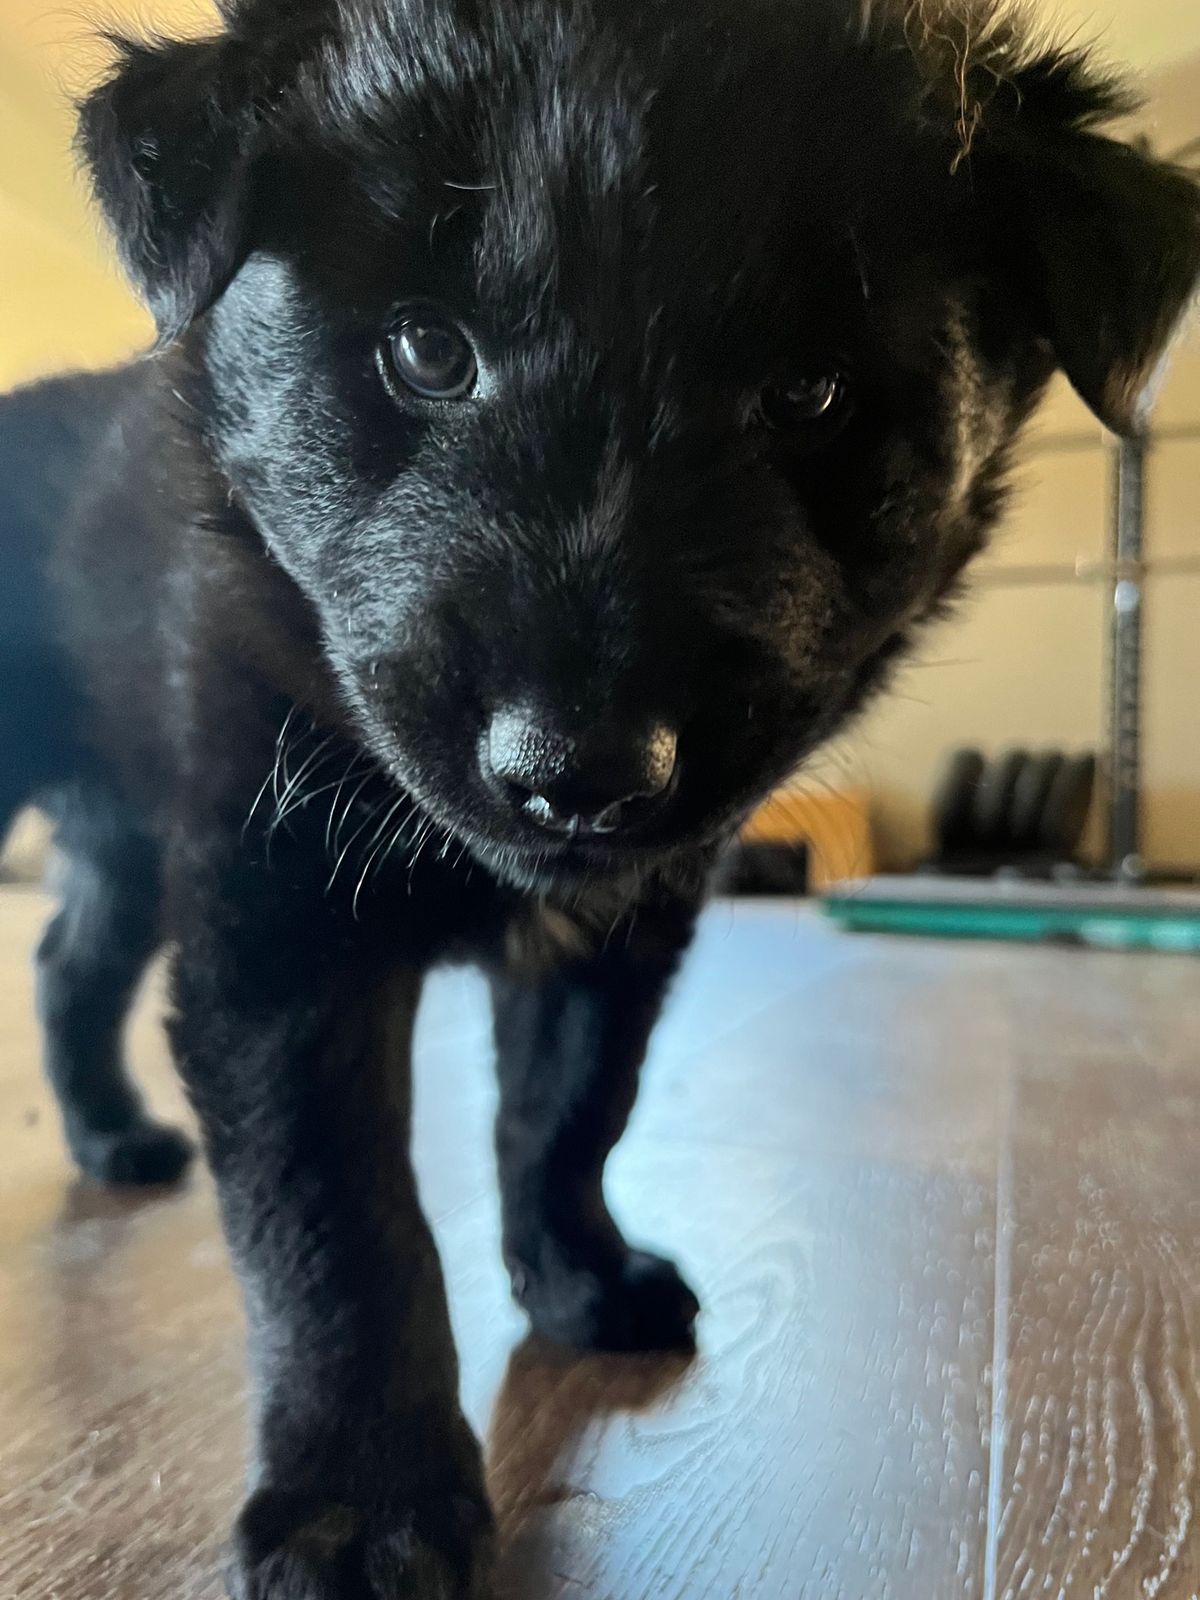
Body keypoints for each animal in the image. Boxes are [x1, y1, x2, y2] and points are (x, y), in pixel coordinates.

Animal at [2, 0, 1200, 1587]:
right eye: (426, 350)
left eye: (808, 392)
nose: (577, 775)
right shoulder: (277, 913)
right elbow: (337, 1217)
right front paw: (363, 1501)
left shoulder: (626, 923)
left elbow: (572, 1107)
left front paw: (576, 1273)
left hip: (139, 829)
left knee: (69, 960)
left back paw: (113, 1140)